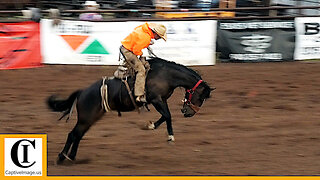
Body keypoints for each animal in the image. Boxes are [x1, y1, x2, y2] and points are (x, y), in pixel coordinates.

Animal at [46, 57, 214, 163]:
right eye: (200, 96)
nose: (189, 113)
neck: (166, 75)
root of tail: (82, 92)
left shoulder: (162, 100)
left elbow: (165, 116)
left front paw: (150, 125)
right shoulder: (156, 100)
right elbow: (168, 115)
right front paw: (170, 137)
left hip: (90, 118)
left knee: (78, 135)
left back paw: (71, 157)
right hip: (85, 117)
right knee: (73, 134)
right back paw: (61, 157)